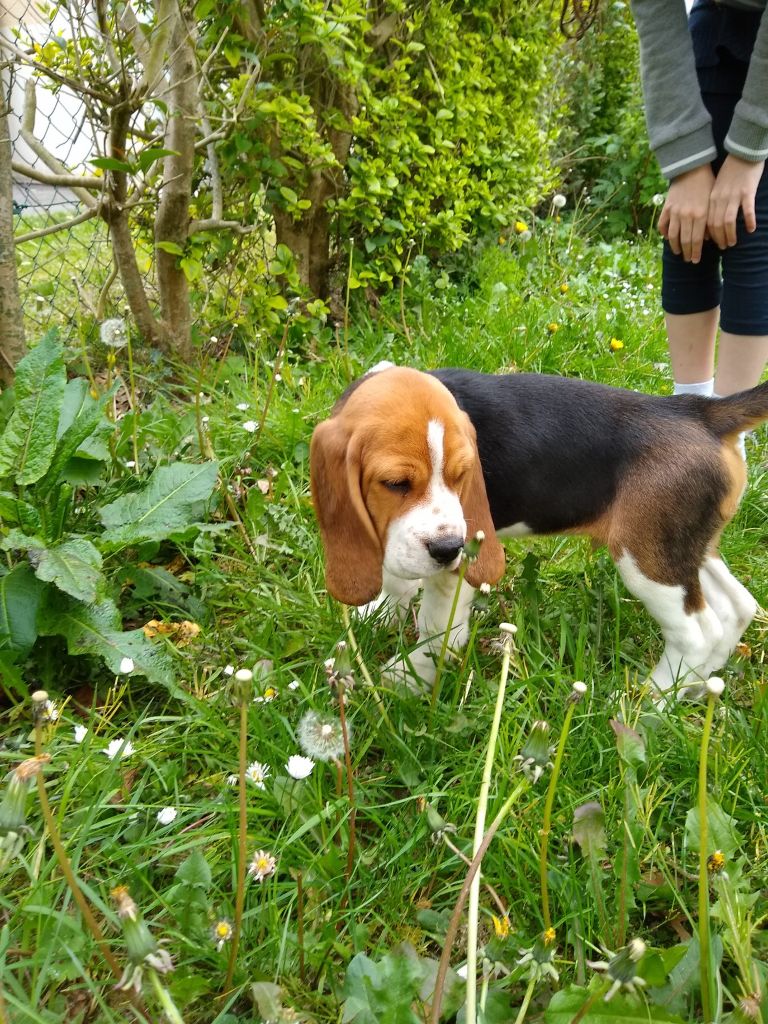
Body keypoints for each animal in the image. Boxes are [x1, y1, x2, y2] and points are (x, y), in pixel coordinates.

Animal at [309, 362, 765, 696]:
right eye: (396, 484)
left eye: (463, 475)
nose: (451, 548)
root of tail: (696, 411)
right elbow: (397, 579)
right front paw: (381, 612)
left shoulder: (452, 571)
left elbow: (437, 633)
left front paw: (406, 680)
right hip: (688, 547)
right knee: (736, 607)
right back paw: (699, 688)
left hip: (647, 558)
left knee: (697, 632)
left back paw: (645, 704)